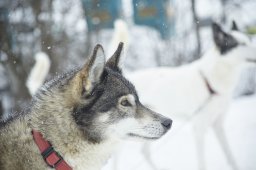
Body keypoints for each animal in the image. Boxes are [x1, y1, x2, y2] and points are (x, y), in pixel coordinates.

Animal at [127, 22, 256, 170]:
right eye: (241, 44)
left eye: (249, 40)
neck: (210, 82)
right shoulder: (199, 128)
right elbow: (202, 162)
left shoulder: (218, 124)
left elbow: (229, 154)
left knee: (145, 152)